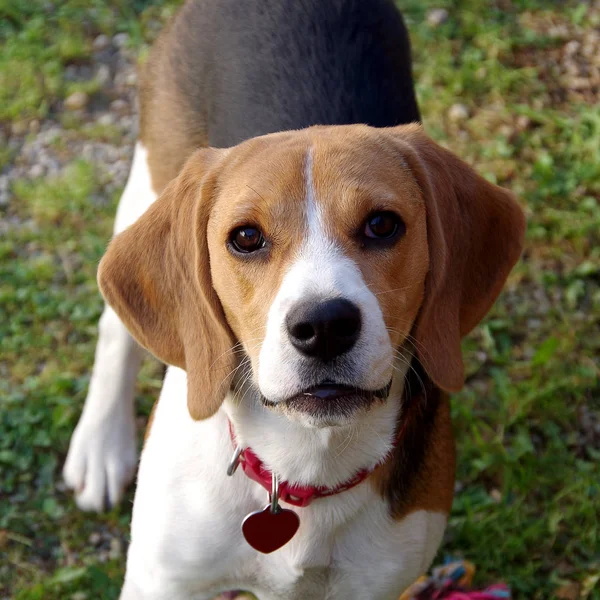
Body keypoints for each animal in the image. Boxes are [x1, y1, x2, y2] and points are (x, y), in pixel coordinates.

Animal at [62, 1, 524, 600]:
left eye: (382, 225)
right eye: (245, 238)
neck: (305, 466)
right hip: (150, 171)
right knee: (113, 330)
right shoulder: (164, 581)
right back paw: (100, 444)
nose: (324, 326)